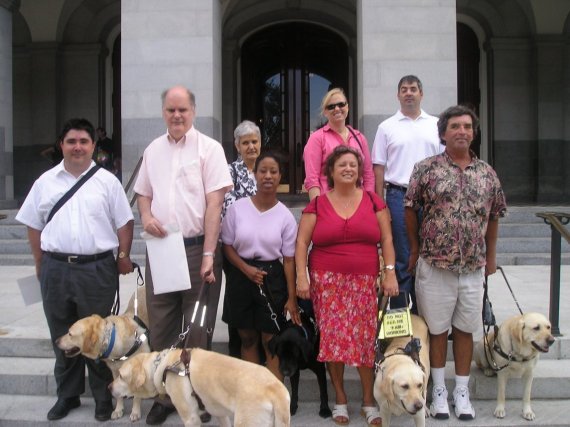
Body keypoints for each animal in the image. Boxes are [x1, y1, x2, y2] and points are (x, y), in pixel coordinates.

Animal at [55, 284, 149, 422]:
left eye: (70, 334)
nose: (56, 341)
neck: (112, 341)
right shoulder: (115, 371)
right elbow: (117, 392)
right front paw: (118, 410)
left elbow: (137, 394)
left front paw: (135, 412)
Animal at [109, 348, 290, 427]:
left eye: (121, 376)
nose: (109, 387)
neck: (163, 365)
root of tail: (276, 389)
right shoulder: (219, 413)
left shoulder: (191, 418)